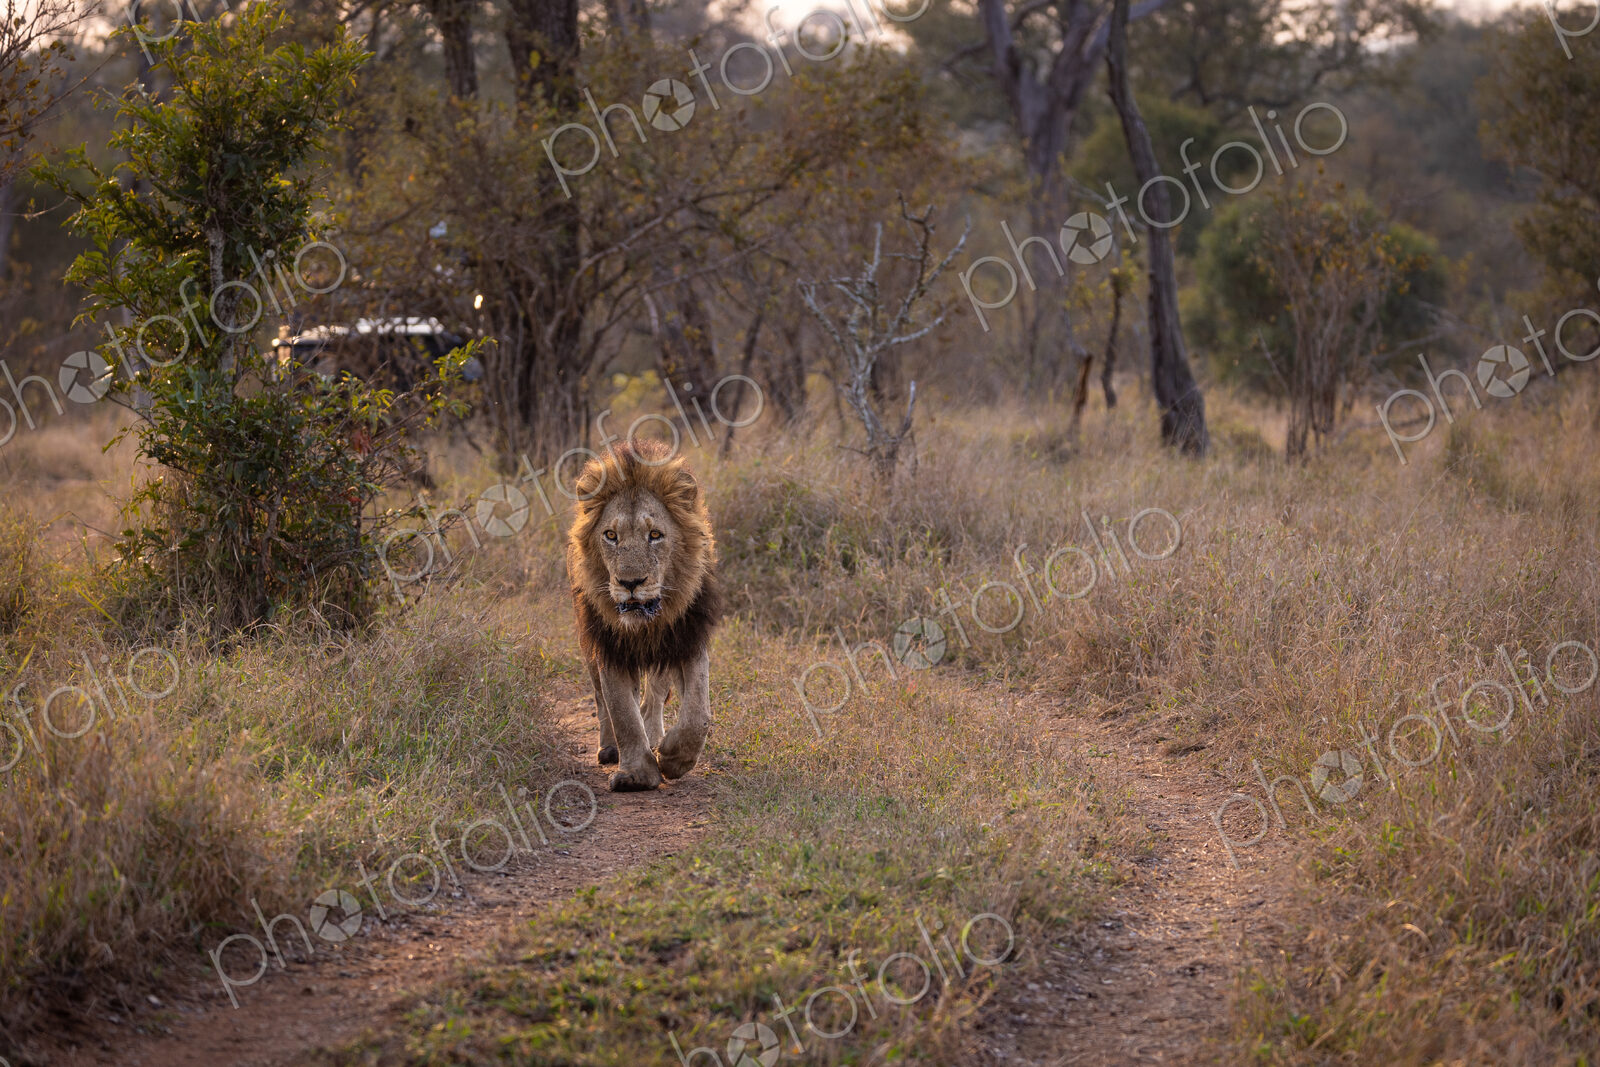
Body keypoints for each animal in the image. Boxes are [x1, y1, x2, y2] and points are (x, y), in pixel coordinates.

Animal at [566, 439, 723, 792]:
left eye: (655, 535)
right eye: (611, 535)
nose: (630, 583)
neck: (644, 626)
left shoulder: (687, 638)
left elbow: (698, 715)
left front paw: (674, 758)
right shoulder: (608, 646)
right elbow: (621, 711)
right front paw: (636, 775)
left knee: (654, 697)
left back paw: (654, 738)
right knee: (601, 699)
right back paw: (610, 748)